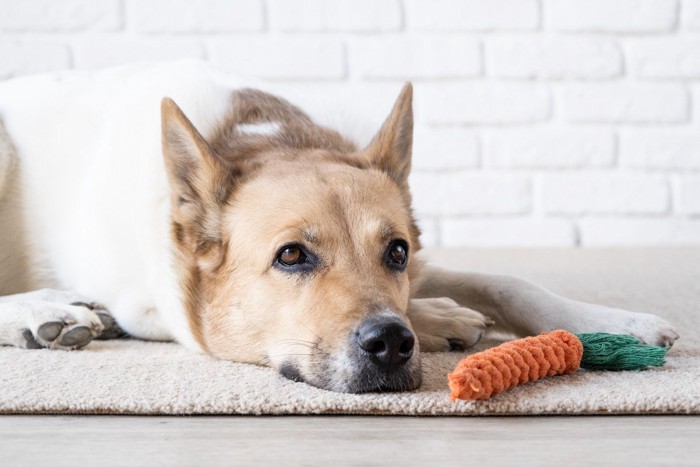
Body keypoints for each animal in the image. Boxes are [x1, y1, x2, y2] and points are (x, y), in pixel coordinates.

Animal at [0, 60, 680, 394]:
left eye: (396, 251)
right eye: (291, 256)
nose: (393, 343)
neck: (269, 141)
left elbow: (507, 281)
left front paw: (616, 323)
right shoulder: (152, 308)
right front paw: (439, 318)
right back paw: (42, 313)